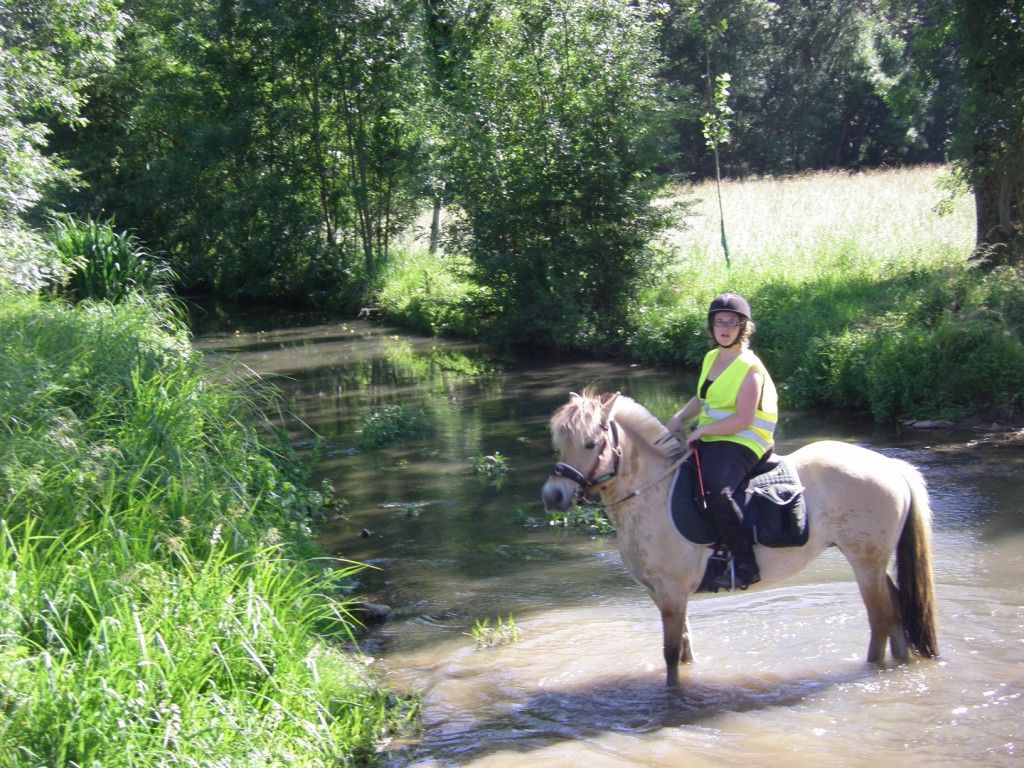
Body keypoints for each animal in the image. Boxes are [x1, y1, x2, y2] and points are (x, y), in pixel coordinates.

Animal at [540, 390, 938, 688]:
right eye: (559, 444)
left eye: (591, 443)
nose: (553, 496)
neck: (653, 492)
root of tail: (891, 467)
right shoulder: (661, 594)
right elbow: (685, 650)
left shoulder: (672, 593)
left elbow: (671, 655)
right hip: (874, 562)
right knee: (896, 611)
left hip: (864, 562)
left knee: (880, 618)